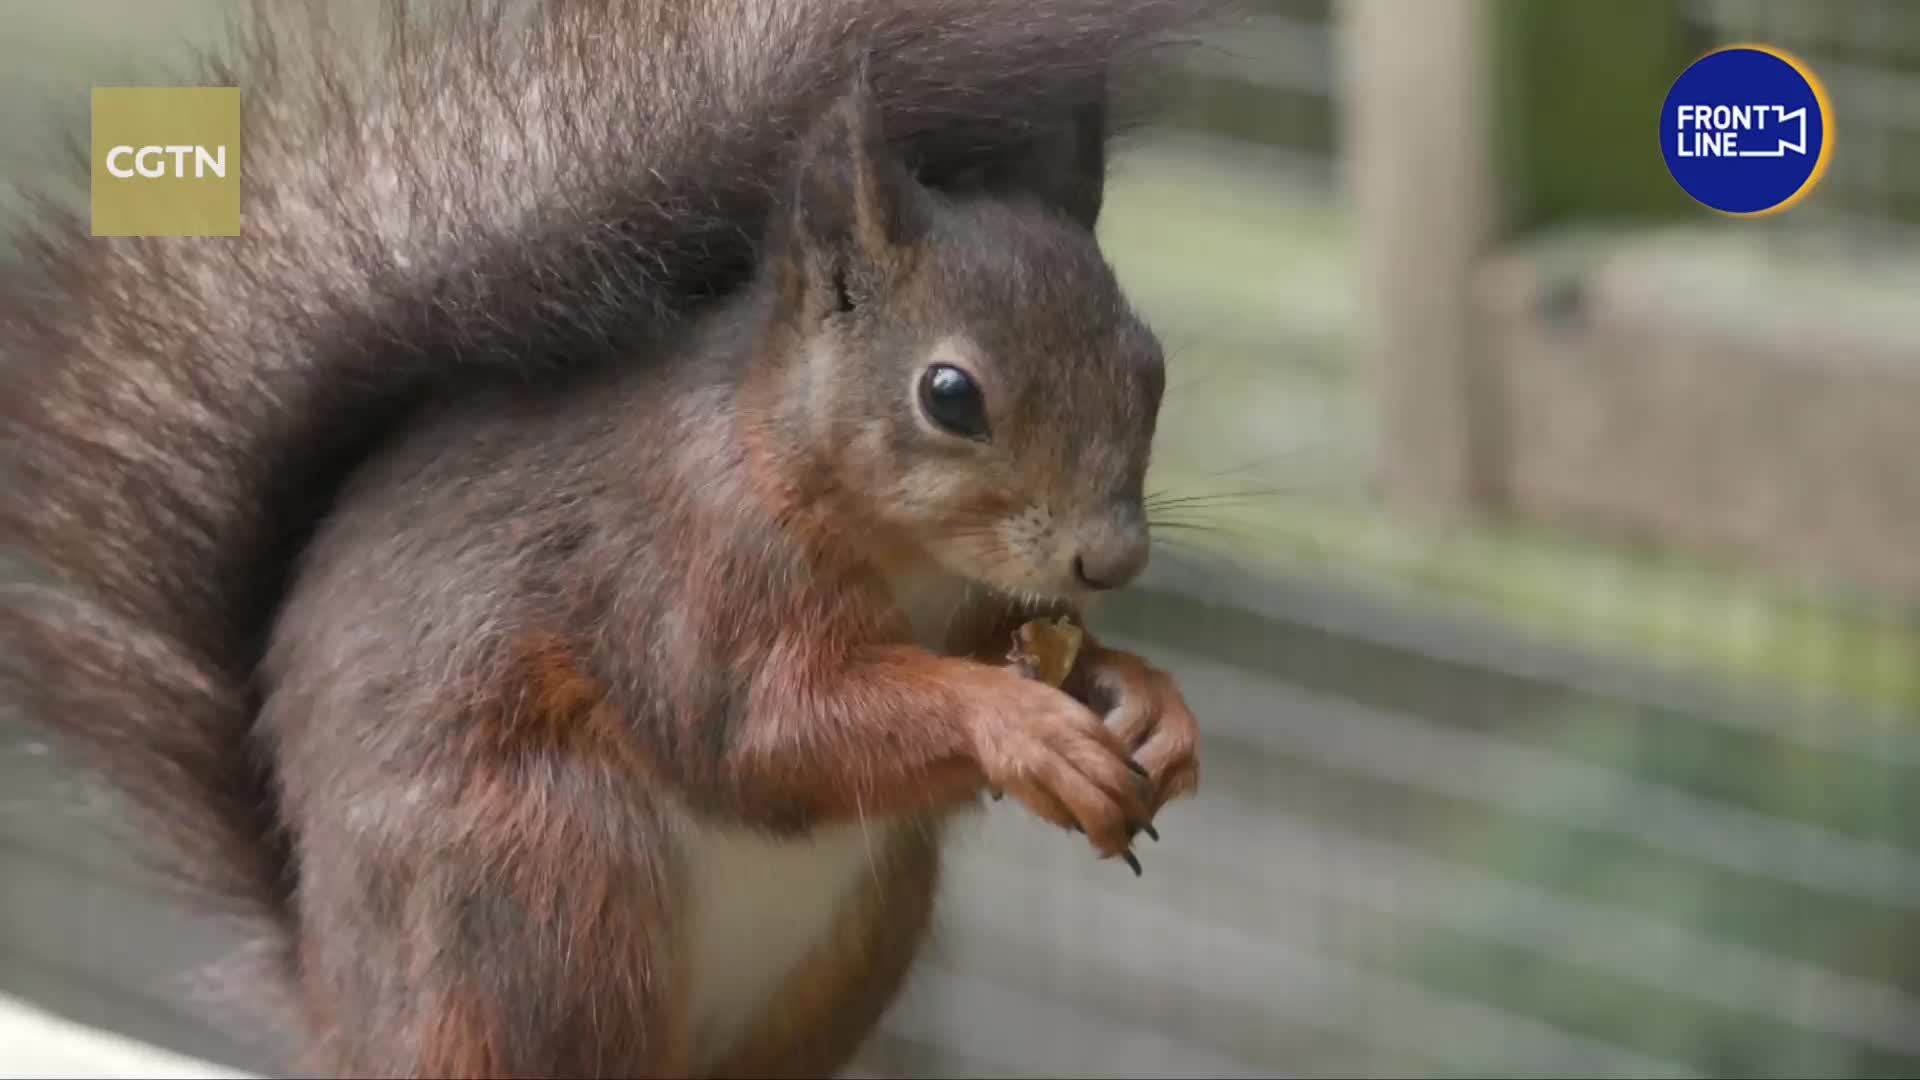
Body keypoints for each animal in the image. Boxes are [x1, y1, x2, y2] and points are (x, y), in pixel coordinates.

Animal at [3, 0, 1213, 1068]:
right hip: (546, 881)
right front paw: (1022, 725)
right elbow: (759, 729)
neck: (905, 555)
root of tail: (342, 1009)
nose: (1112, 560)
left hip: (852, 936)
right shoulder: (689, 570)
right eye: (949, 395)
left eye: (1150, 363)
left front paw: (1144, 698)